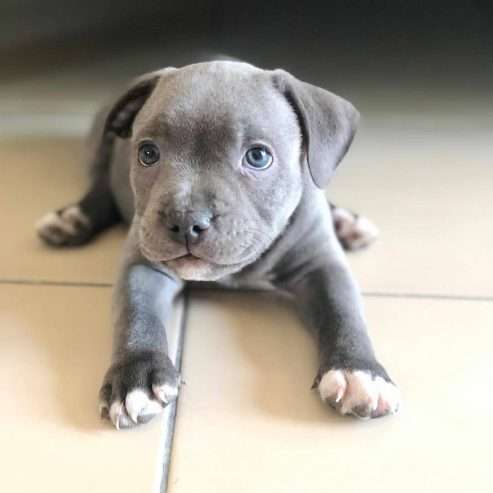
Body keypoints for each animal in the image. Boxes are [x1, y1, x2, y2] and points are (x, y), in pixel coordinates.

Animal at [38, 60, 400, 426]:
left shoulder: (321, 265)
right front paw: (136, 377)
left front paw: (359, 372)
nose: (184, 220)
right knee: (100, 188)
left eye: (258, 157)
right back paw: (73, 218)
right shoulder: (141, 263)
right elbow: (136, 313)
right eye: (148, 153)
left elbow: (343, 310)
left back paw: (346, 221)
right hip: (101, 150)